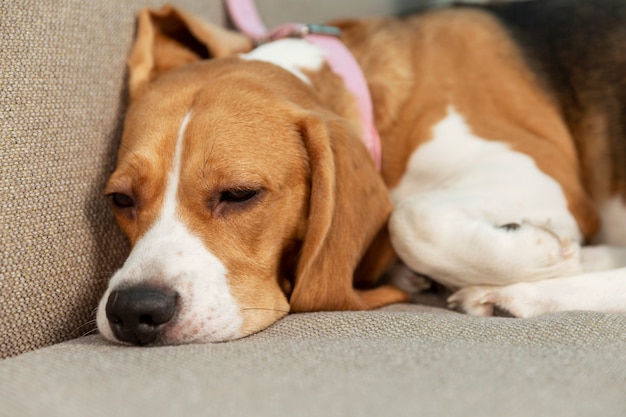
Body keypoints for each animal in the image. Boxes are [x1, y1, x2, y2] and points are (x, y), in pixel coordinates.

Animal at [96, 0, 624, 344]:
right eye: (121, 199)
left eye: (240, 194)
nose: (134, 311)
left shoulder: (542, 172)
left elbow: (410, 216)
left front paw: (545, 251)